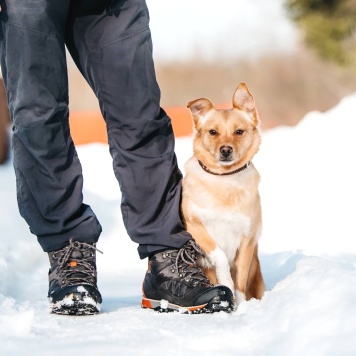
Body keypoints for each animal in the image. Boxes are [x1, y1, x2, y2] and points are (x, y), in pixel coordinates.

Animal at [184, 81, 264, 306]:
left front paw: (241, 305)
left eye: (239, 131)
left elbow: (241, 279)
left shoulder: (247, 239)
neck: (224, 179)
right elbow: (219, 254)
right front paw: (225, 282)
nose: (226, 150)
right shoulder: (195, 227)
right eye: (213, 132)